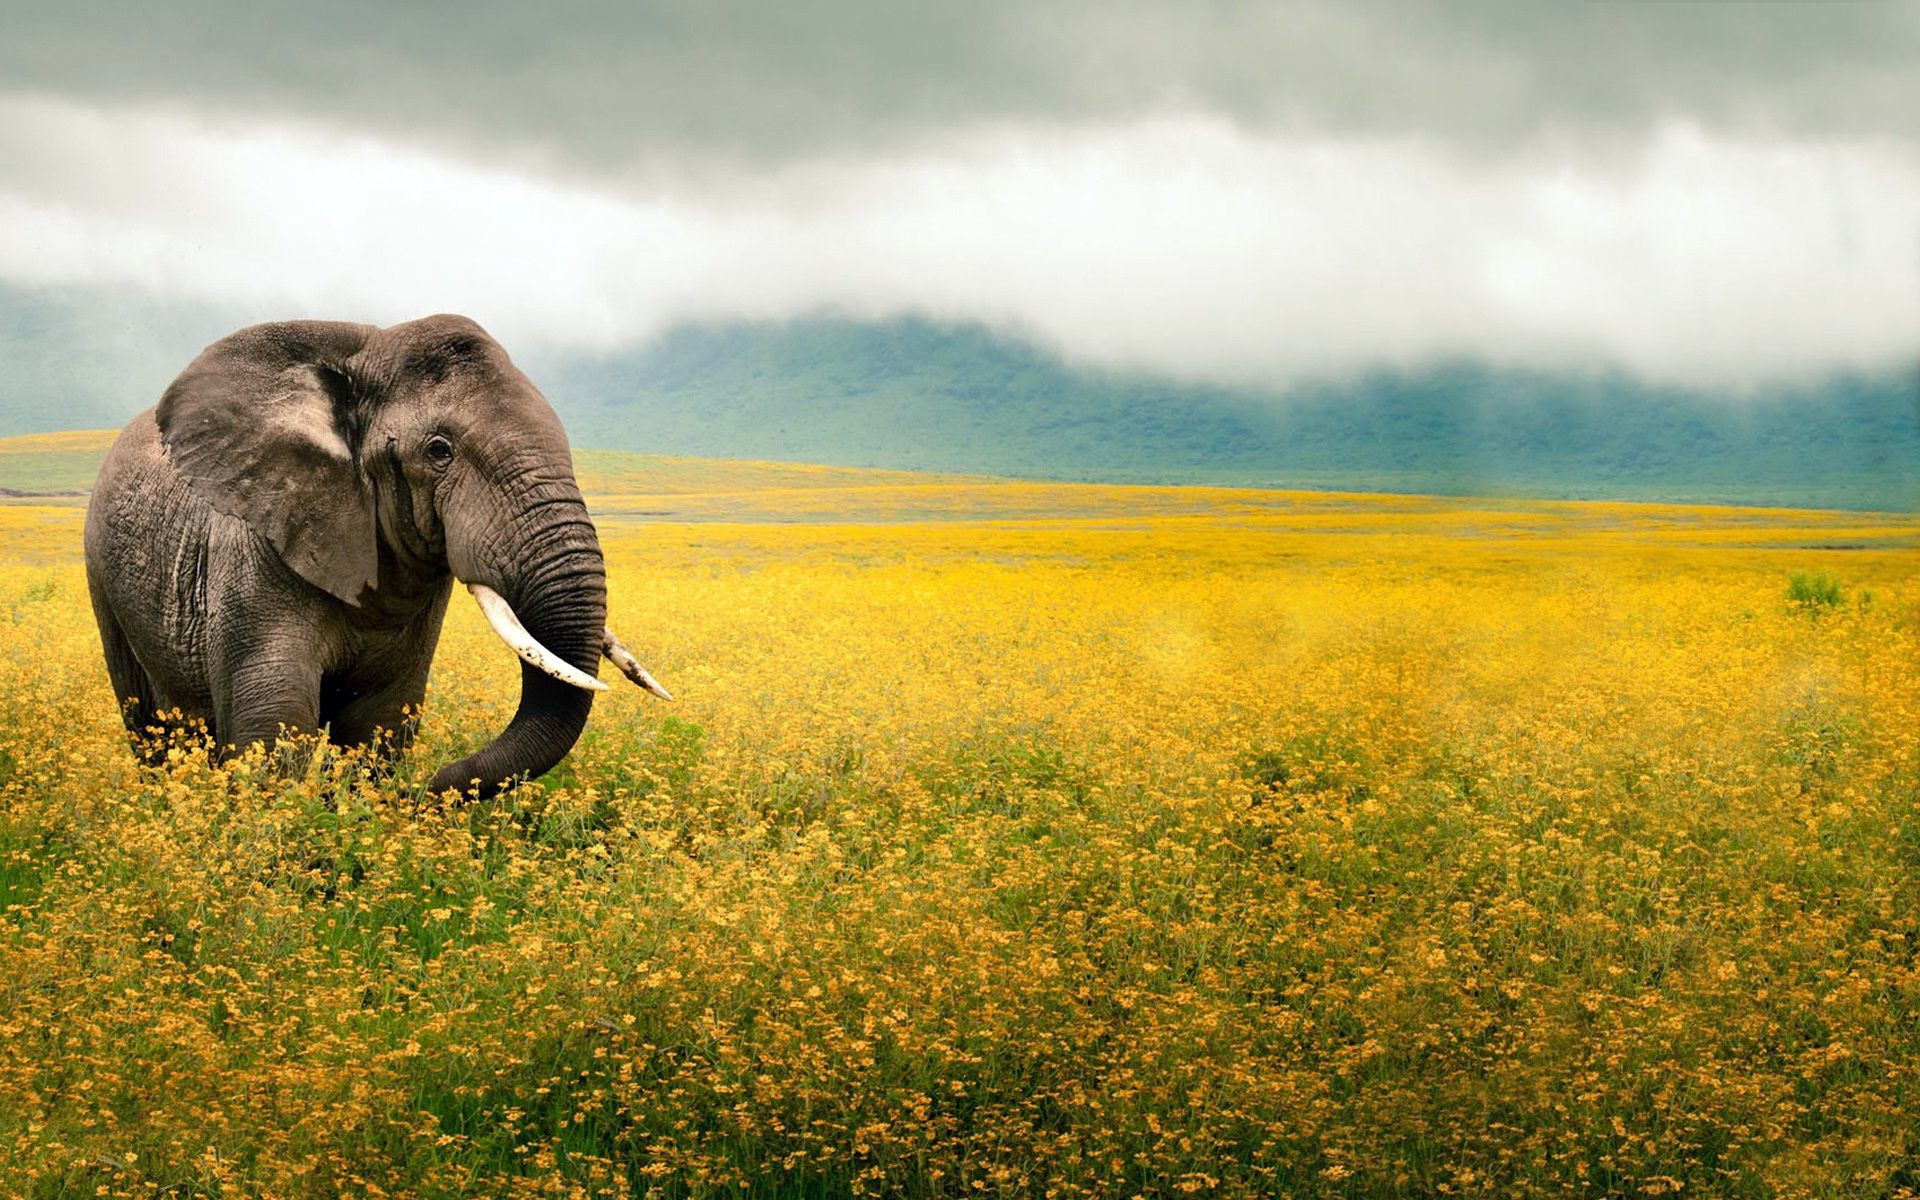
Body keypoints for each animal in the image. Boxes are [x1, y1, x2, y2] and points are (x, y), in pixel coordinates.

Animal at [84, 312, 675, 794]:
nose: (431, 786)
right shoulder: (252, 549)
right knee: (149, 725)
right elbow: (274, 725)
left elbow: (379, 722)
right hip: (102, 576)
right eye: (439, 451)